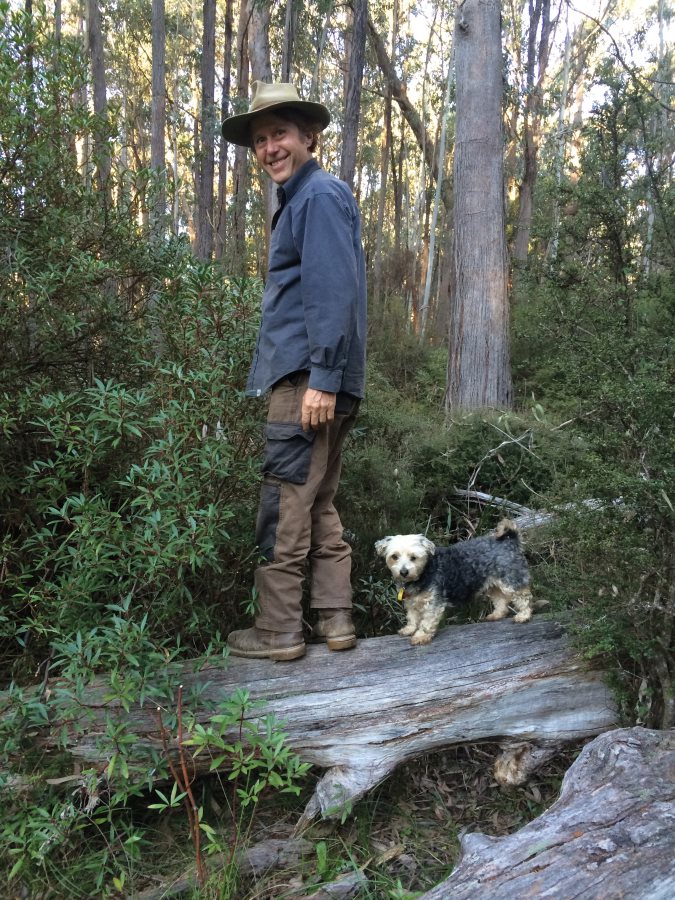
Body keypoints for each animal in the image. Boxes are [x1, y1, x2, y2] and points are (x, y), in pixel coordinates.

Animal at [374, 520, 532, 648]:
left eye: (413, 557)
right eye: (394, 557)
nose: (403, 572)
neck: (423, 572)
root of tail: (509, 541)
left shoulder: (433, 603)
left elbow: (426, 622)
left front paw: (420, 636)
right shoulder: (412, 601)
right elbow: (412, 617)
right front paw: (409, 629)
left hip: (511, 580)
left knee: (523, 596)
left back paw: (523, 615)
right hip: (493, 585)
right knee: (501, 600)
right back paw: (497, 615)